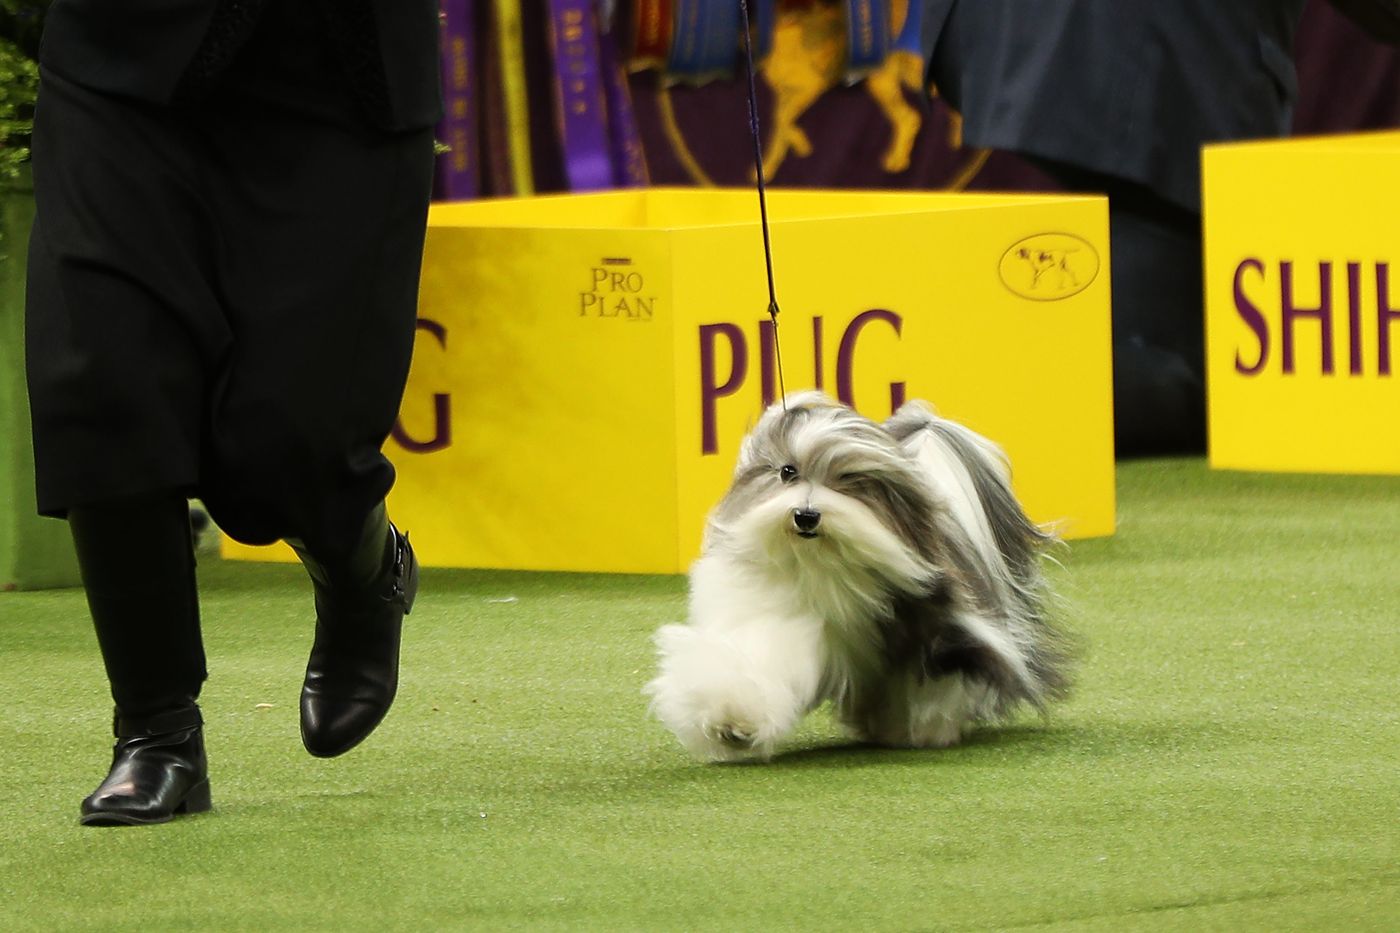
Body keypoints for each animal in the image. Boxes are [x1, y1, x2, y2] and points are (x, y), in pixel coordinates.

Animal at [644, 389, 1069, 762]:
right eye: (787, 472)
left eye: (848, 480)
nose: (806, 515)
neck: (825, 566)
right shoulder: (777, 616)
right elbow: (757, 659)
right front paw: (731, 721)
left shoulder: (940, 627)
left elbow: (938, 677)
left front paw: (926, 728)